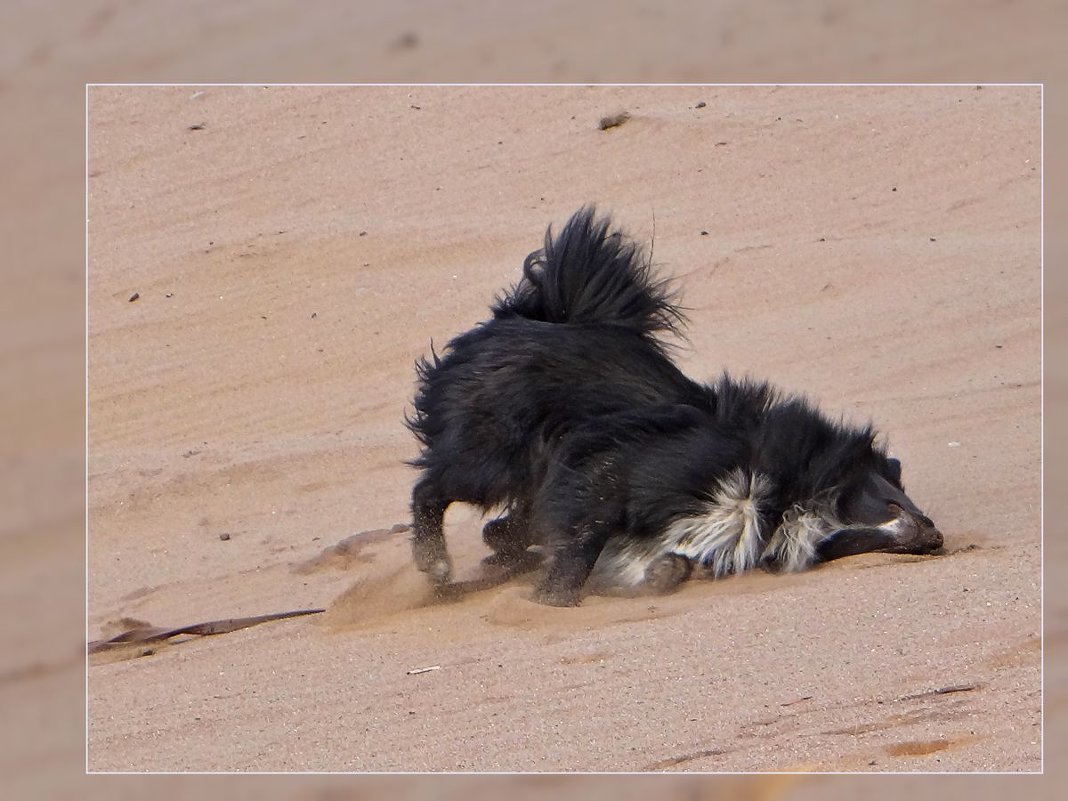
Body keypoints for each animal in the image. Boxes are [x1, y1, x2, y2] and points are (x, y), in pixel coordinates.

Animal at [401, 207, 944, 606]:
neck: (784, 494)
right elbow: (584, 539)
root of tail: (530, 316)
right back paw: (438, 566)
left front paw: (660, 573)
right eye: (891, 502)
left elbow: (665, 559)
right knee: (433, 489)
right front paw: (553, 599)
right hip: (495, 448)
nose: (935, 536)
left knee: (502, 525)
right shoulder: (617, 471)